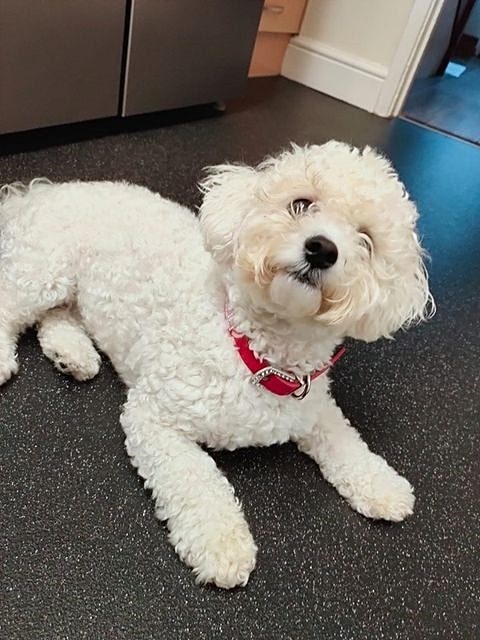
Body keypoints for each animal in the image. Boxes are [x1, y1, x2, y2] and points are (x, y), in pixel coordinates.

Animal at [0, 141, 436, 592]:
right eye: (300, 203)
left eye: (366, 239)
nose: (322, 248)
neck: (259, 356)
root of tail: (39, 192)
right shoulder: (154, 418)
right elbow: (197, 481)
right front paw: (221, 544)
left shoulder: (312, 405)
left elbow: (346, 439)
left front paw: (382, 484)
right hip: (45, 270)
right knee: (12, 304)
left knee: (56, 317)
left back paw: (72, 354)